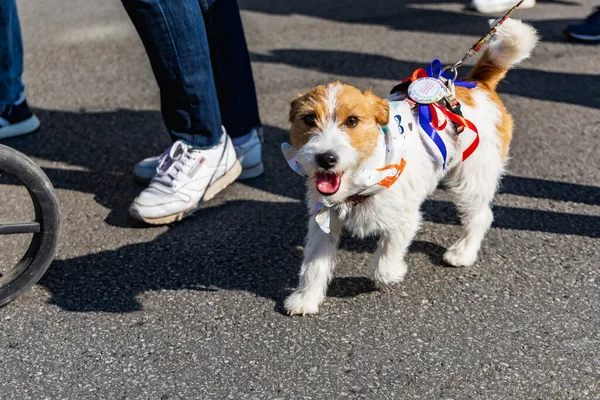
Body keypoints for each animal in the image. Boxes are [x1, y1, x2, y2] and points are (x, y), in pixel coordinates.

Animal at [282, 20, 540, 316]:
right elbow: (314, 263)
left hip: (472, 177)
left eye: (352, 121)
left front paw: (395, 271)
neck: (362, 177)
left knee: (481, 216)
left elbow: (382, 265)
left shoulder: (405, 218)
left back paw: (463, 252)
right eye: (309, 119)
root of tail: (477, 84)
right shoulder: (323, 220)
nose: (326, 158)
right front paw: (305, 298)